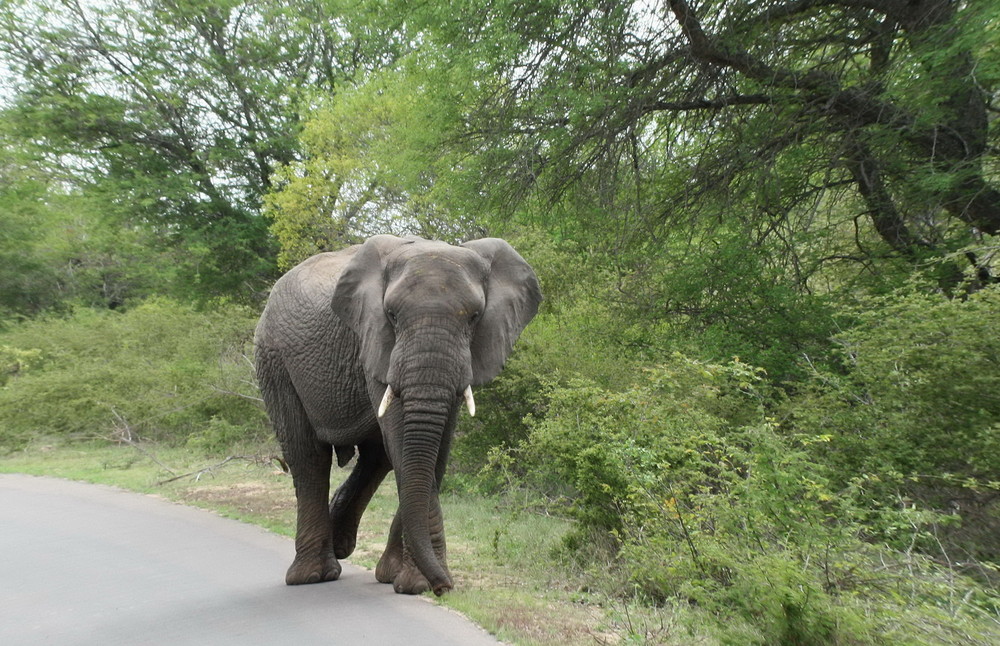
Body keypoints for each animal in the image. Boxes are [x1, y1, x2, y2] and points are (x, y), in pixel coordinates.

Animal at [254, 235, 544, 596]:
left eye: (475, 317)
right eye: (391, 315)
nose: (444, 588)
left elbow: (435, 450)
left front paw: (404, 579)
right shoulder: (374, 341)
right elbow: (404, 442)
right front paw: (418, 582)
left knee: (377, 457)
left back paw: (342, 545)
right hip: (273, 360)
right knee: (308, 457)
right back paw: (312, 575)